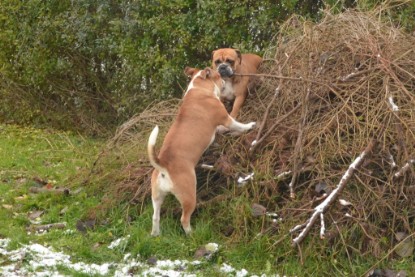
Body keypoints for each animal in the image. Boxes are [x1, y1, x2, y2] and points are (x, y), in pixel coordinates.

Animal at [146, 67, 256, 235]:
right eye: (218, 75)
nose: (223, 78)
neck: (199, 89)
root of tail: (163, 165)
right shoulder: (226, 119)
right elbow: (238, 125)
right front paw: (249, 125)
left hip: (157, 196)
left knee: (155, 217)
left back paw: (155, 234)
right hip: (189, 195)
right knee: (184, 219)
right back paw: (192, 234)